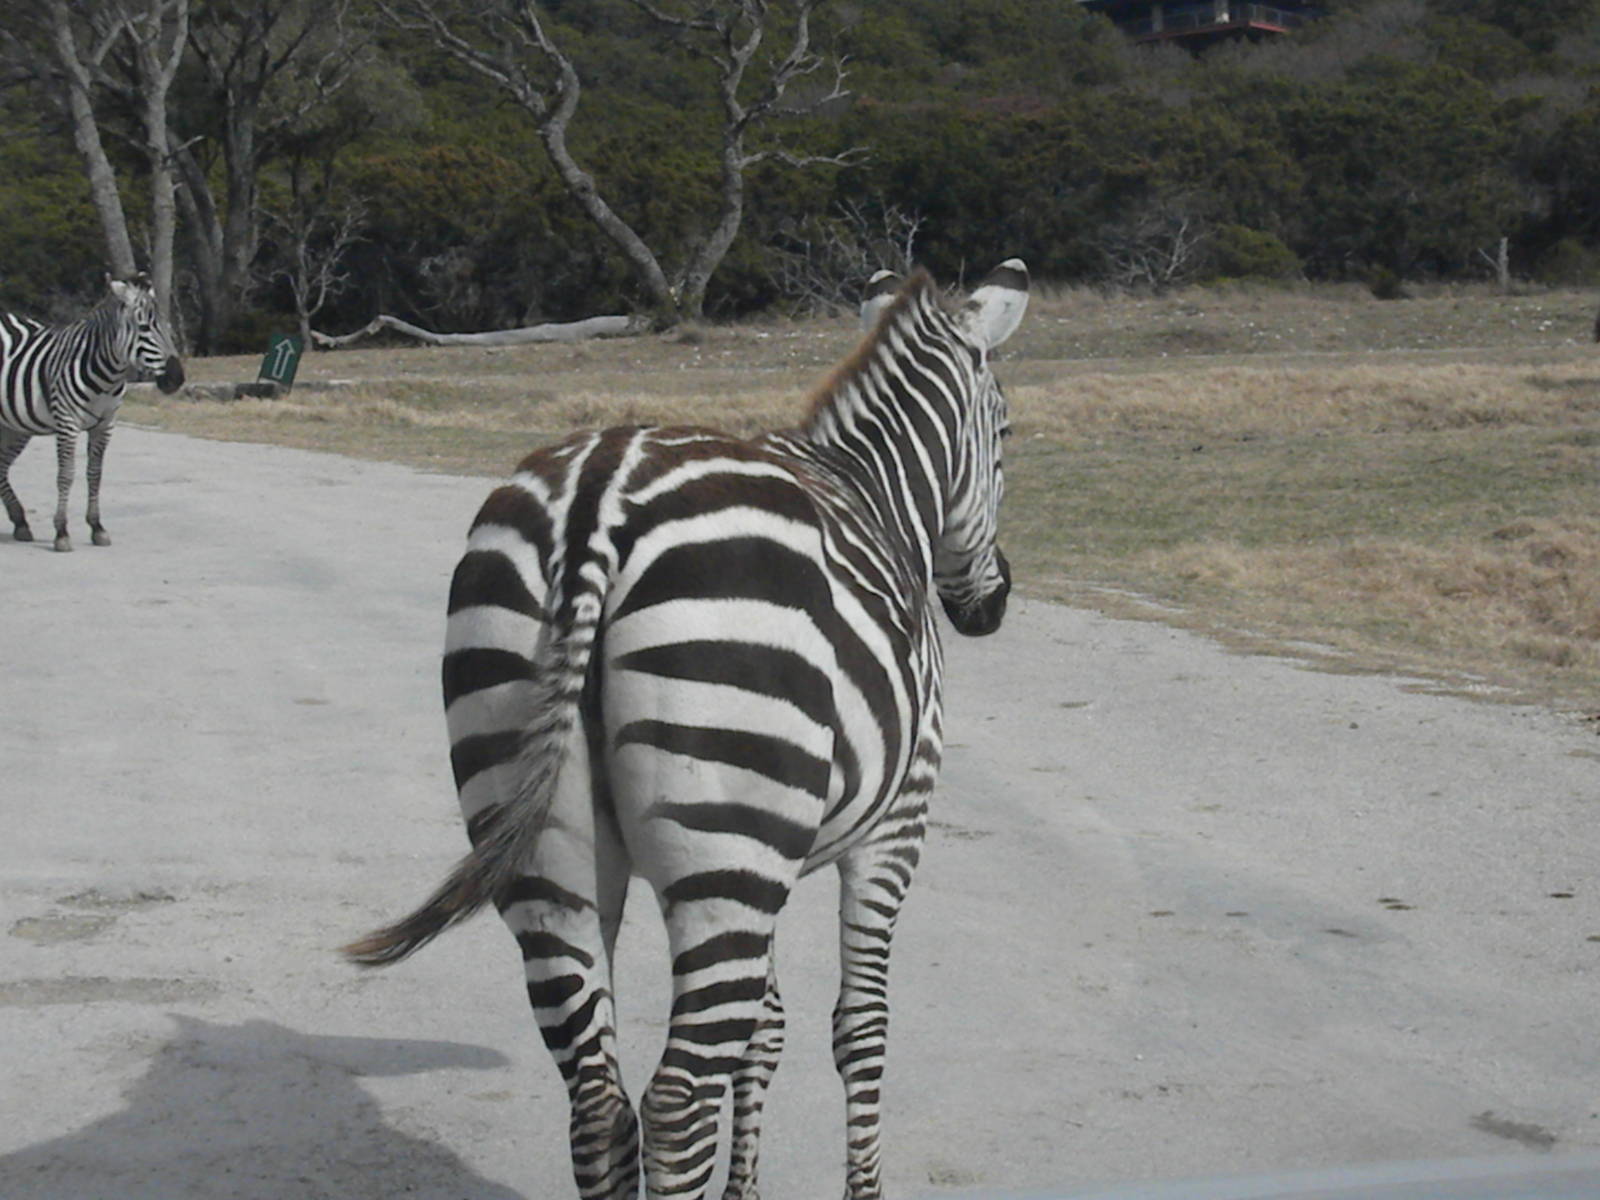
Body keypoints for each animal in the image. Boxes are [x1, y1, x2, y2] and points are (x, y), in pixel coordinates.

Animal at [0, 274, 185, 551]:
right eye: (144, 328)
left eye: (167, 327)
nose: (177, 379)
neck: (107, 375)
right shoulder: (67, 423)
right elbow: (66, 475)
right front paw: (62, 532)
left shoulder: (105, 425)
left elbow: (95, 474)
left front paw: (97, 527)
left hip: (16, 424)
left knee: (1, 465)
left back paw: (20, 521)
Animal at [345, 258, 1030, 1200]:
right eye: (1006, 434)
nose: (991, 606)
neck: (879, 492)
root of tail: (597, 499)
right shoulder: (895, 826)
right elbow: (859, 1028)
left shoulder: (774, 857)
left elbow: (764, 1030)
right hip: (725, 846)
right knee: (674, 1103)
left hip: (553, 841)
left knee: (600, 1100)